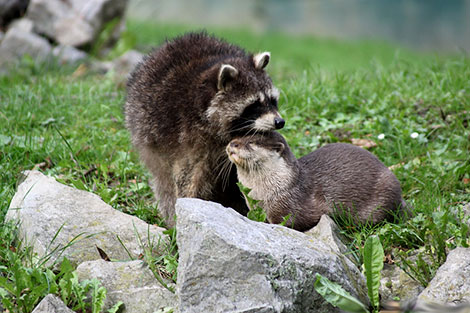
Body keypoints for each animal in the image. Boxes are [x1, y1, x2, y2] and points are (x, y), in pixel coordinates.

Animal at [124, 31, 282, 225]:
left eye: (272, 101)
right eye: (255, 105)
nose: (280, 122)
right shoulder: (186, 136)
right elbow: (187, 176)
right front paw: (182, 211)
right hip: (147, 132)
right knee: (164, 181)